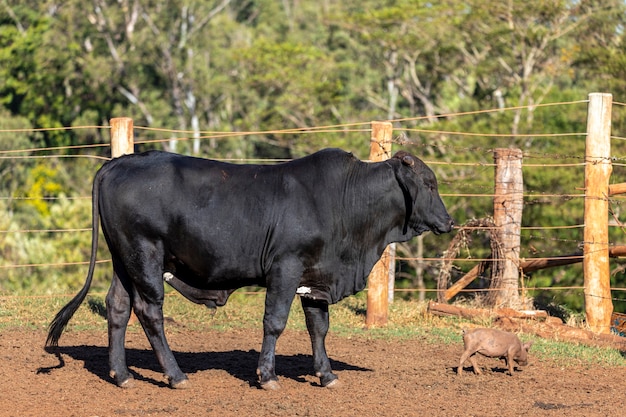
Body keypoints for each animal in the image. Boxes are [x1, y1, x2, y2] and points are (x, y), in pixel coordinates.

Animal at [46, 148, 450, 388]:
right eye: (429, 183)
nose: (448, 221)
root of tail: (120, 161)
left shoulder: (315, 276)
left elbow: (319, 328)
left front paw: (326, 374)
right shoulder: (285, 269)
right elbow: (275, 322)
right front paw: (267, 375)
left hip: (124, 260)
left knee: (117, 307)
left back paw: (122, 374)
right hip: (145, 255)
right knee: (149, 311)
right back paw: (175, 375)